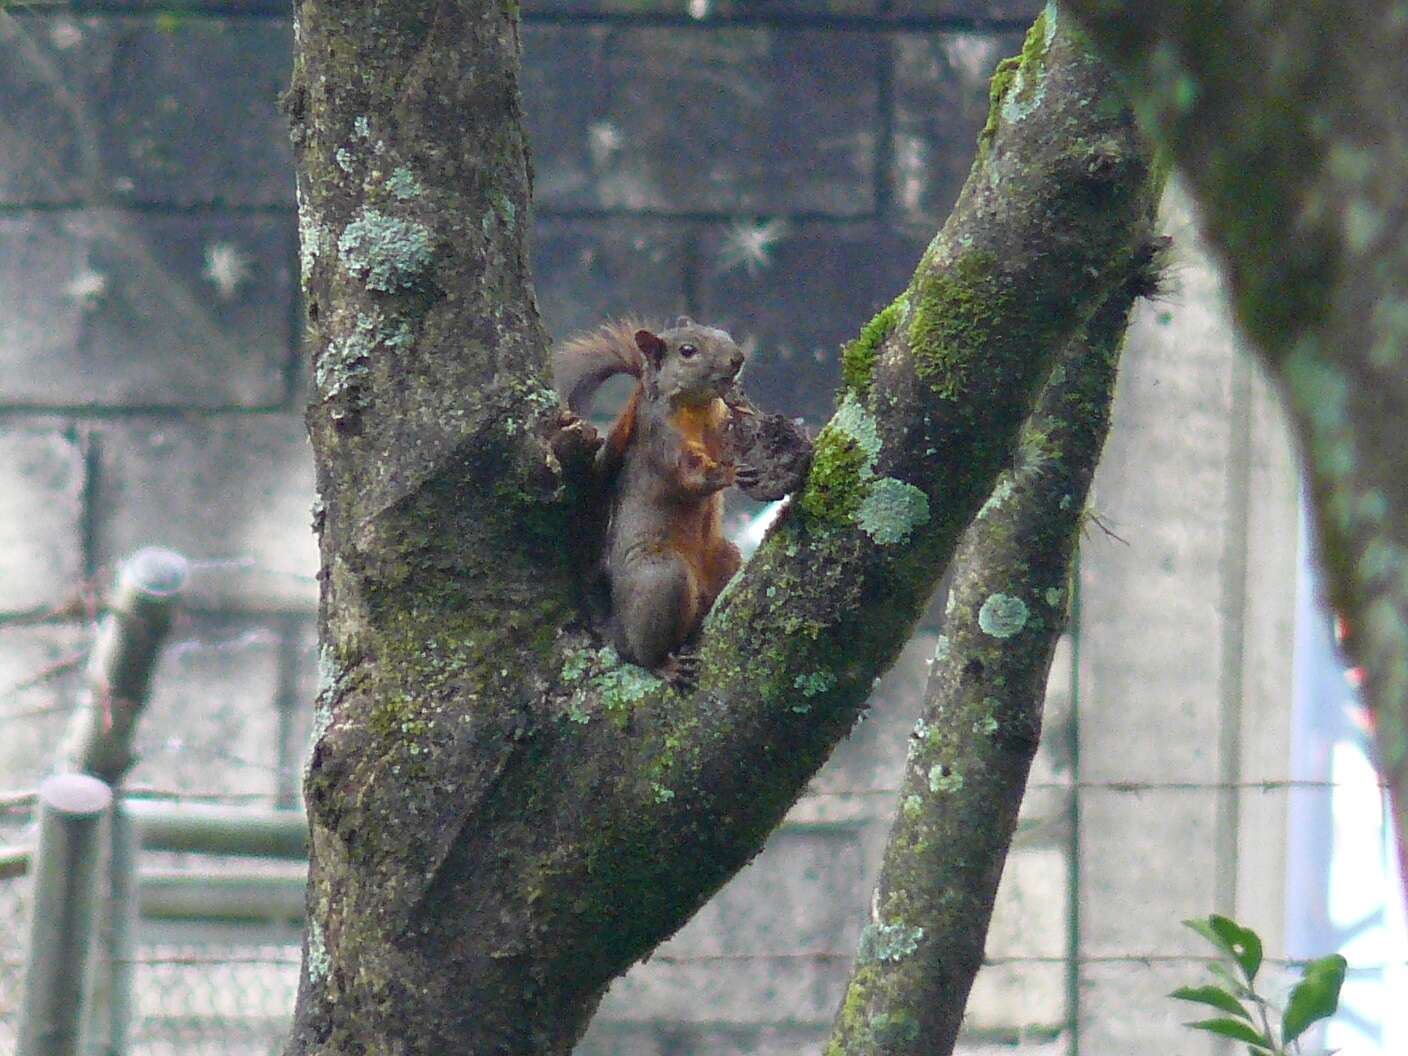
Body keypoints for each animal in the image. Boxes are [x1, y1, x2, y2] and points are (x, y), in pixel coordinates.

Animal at [554, 318, 799, 689]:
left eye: (722, 333)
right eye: (687, 351)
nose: (737, 359)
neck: (697, 408)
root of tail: (618, 628)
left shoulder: (717, 423)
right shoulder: (663, 440)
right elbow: (690, 475)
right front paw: (730, 472)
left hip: (724, 558)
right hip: (663, 579)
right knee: (643, 652)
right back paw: (663, 665)